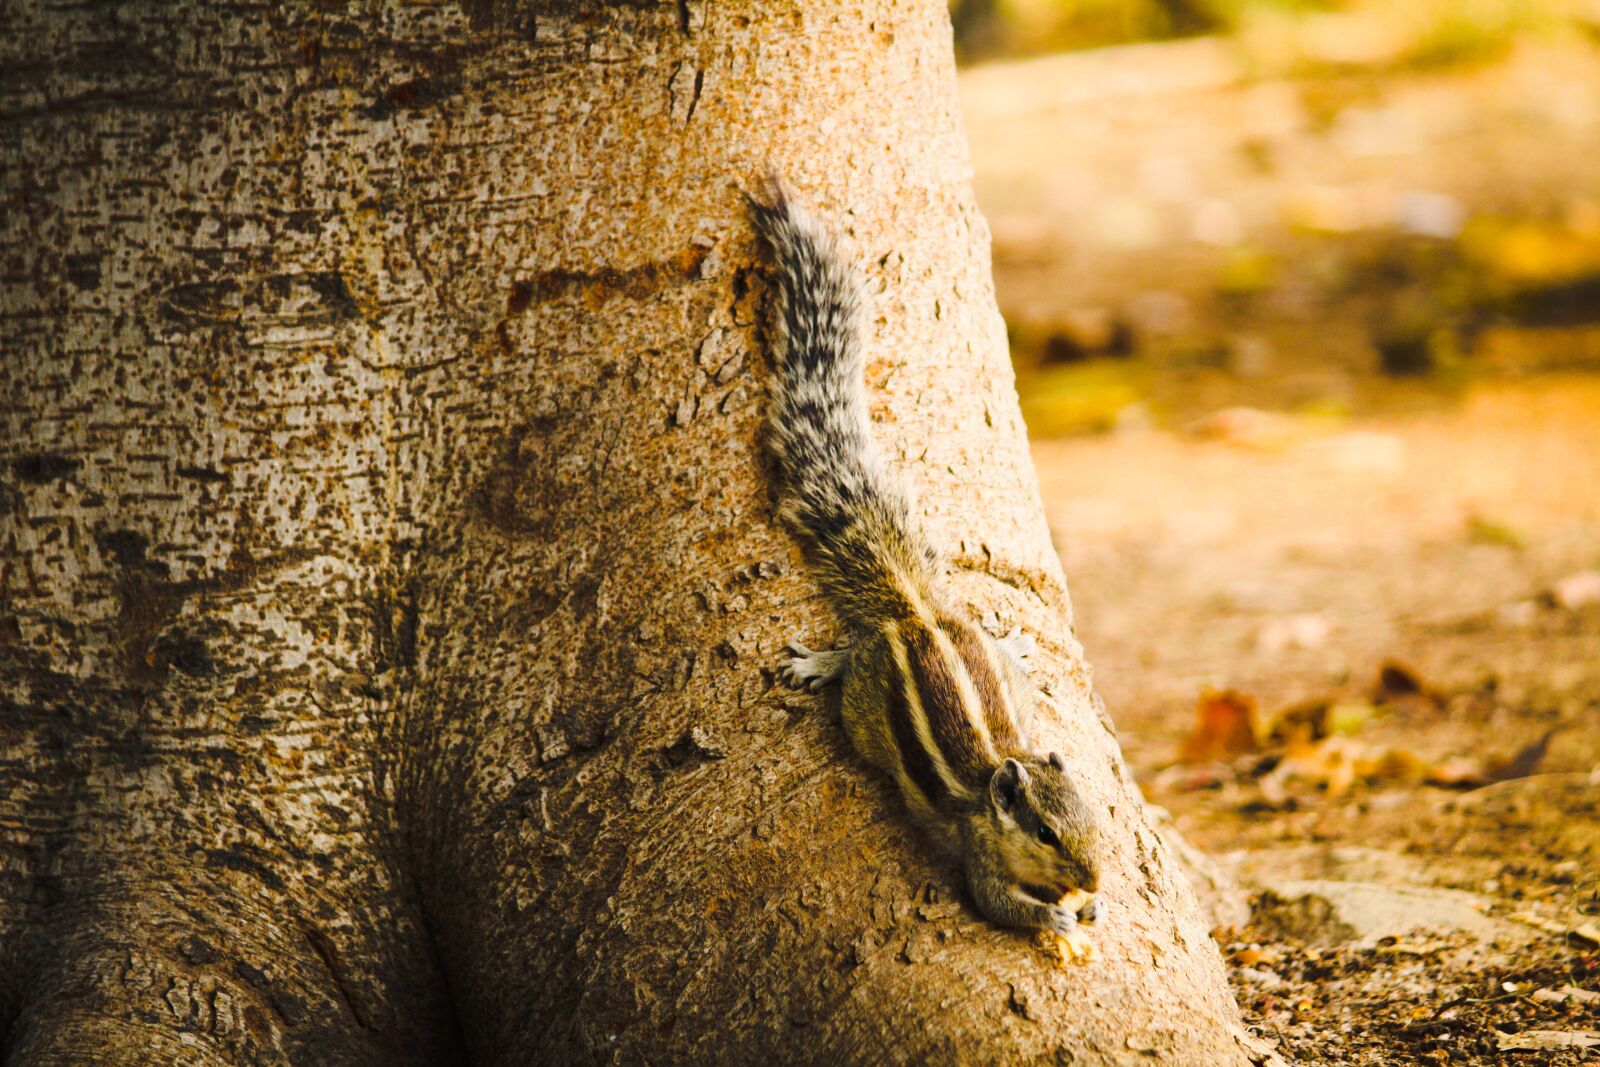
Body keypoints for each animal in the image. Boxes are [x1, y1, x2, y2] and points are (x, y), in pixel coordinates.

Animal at [747, 181, 1103, 949]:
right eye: (1046, 832)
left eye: (1095, 819)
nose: (1092, 880)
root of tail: (914, 612)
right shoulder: (980, 859)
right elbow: (997, 903)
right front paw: (1058, 913)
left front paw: (1094, 906)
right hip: (862, 703)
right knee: (851, 663)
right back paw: (818, 664)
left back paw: (1012, 644)